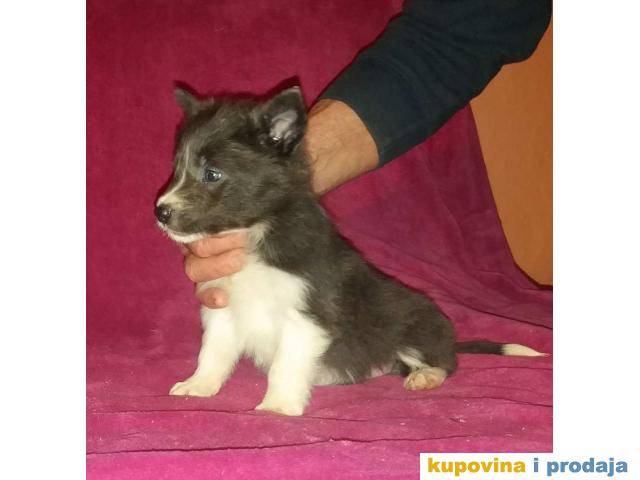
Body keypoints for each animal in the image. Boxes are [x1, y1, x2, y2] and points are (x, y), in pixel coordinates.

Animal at [155, 86, 544, 416]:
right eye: (177, 168)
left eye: (212, 174)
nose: (160, 211)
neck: (256, 233)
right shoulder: (222, 308)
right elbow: (213, 353)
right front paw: (198, 386)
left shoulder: (307, 316)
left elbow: (285, 365)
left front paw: (278, 407)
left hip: (414, 325)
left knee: (445, 362)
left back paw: (425, 375)